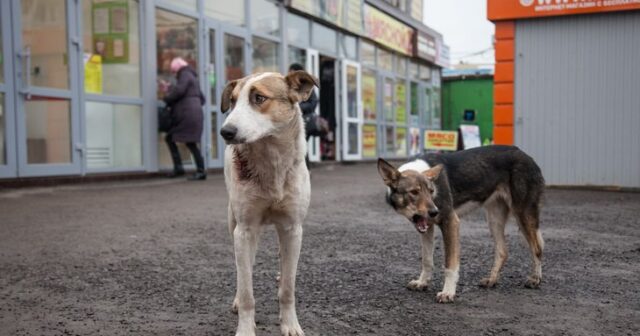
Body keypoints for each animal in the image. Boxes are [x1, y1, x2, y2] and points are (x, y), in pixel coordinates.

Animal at [221, 71, 318, 336]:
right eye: (232, 101)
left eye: (259, 98)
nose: (225, 132)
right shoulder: (244, 230)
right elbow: (247, 290)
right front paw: (245, 329)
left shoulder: (293, 229)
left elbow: (288, 288)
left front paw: (290, 325)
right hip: (235, 222)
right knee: (243, 267)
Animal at [378, 146, 548, 304]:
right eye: (414, 192)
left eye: (431, 191)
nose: (434, 212)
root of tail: (526, 155)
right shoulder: (427, 228)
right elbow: (427, 260)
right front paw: (422, 283)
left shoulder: (451, 222)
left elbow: (450, 265)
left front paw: (448, 292)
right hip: (494, 219)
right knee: (503, 251)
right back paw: (491, 280)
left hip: (523, 214)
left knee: (537, 248)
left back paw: (535, 279)